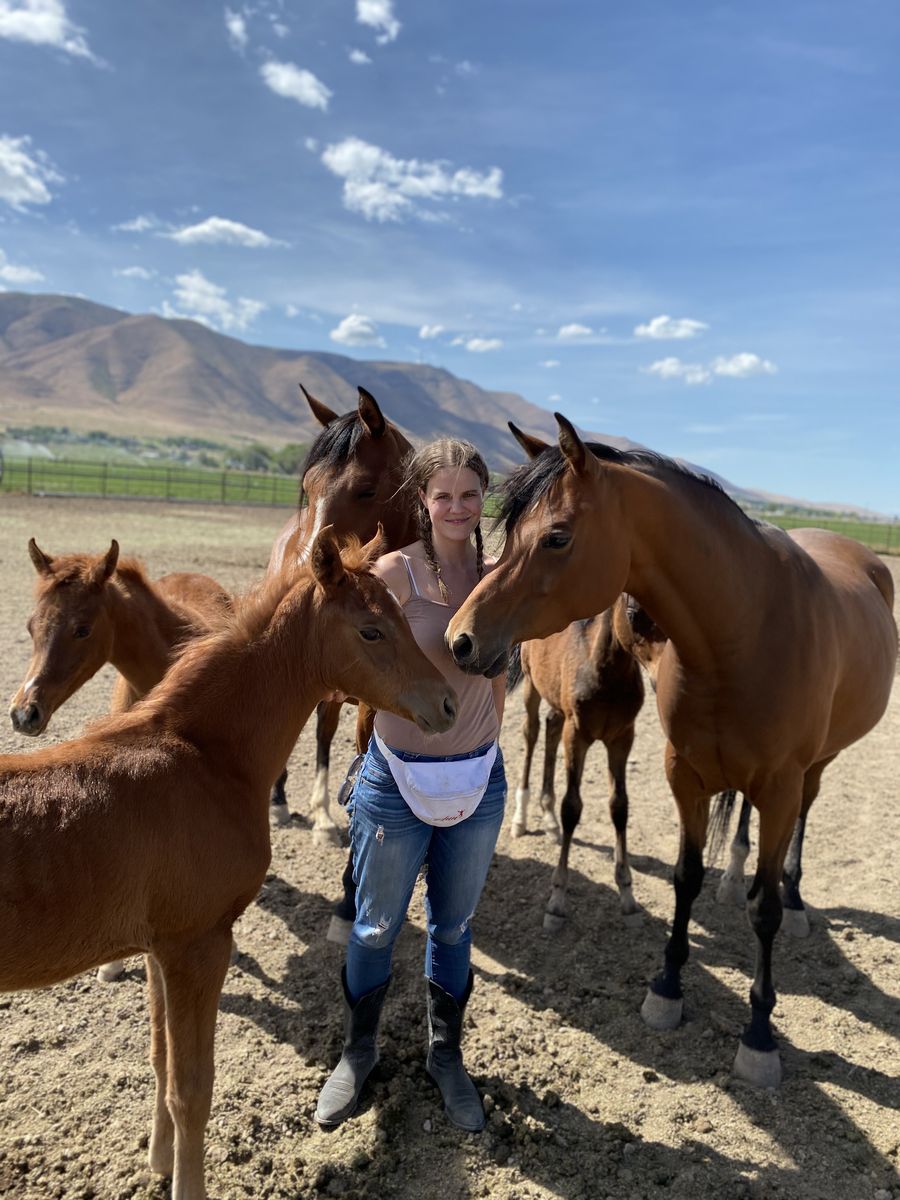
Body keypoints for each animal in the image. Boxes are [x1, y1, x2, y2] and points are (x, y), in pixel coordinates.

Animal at [448, 413, 897, 1088]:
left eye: (555, 537)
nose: (460, 639)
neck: (744, 628)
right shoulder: (684, 772)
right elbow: (684, 877)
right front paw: (666, 985)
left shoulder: (780, 784)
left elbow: (763, 913)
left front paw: (759, 1034)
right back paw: (733, 879)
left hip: (813, 770)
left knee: (800, 828)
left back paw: (792, 900)